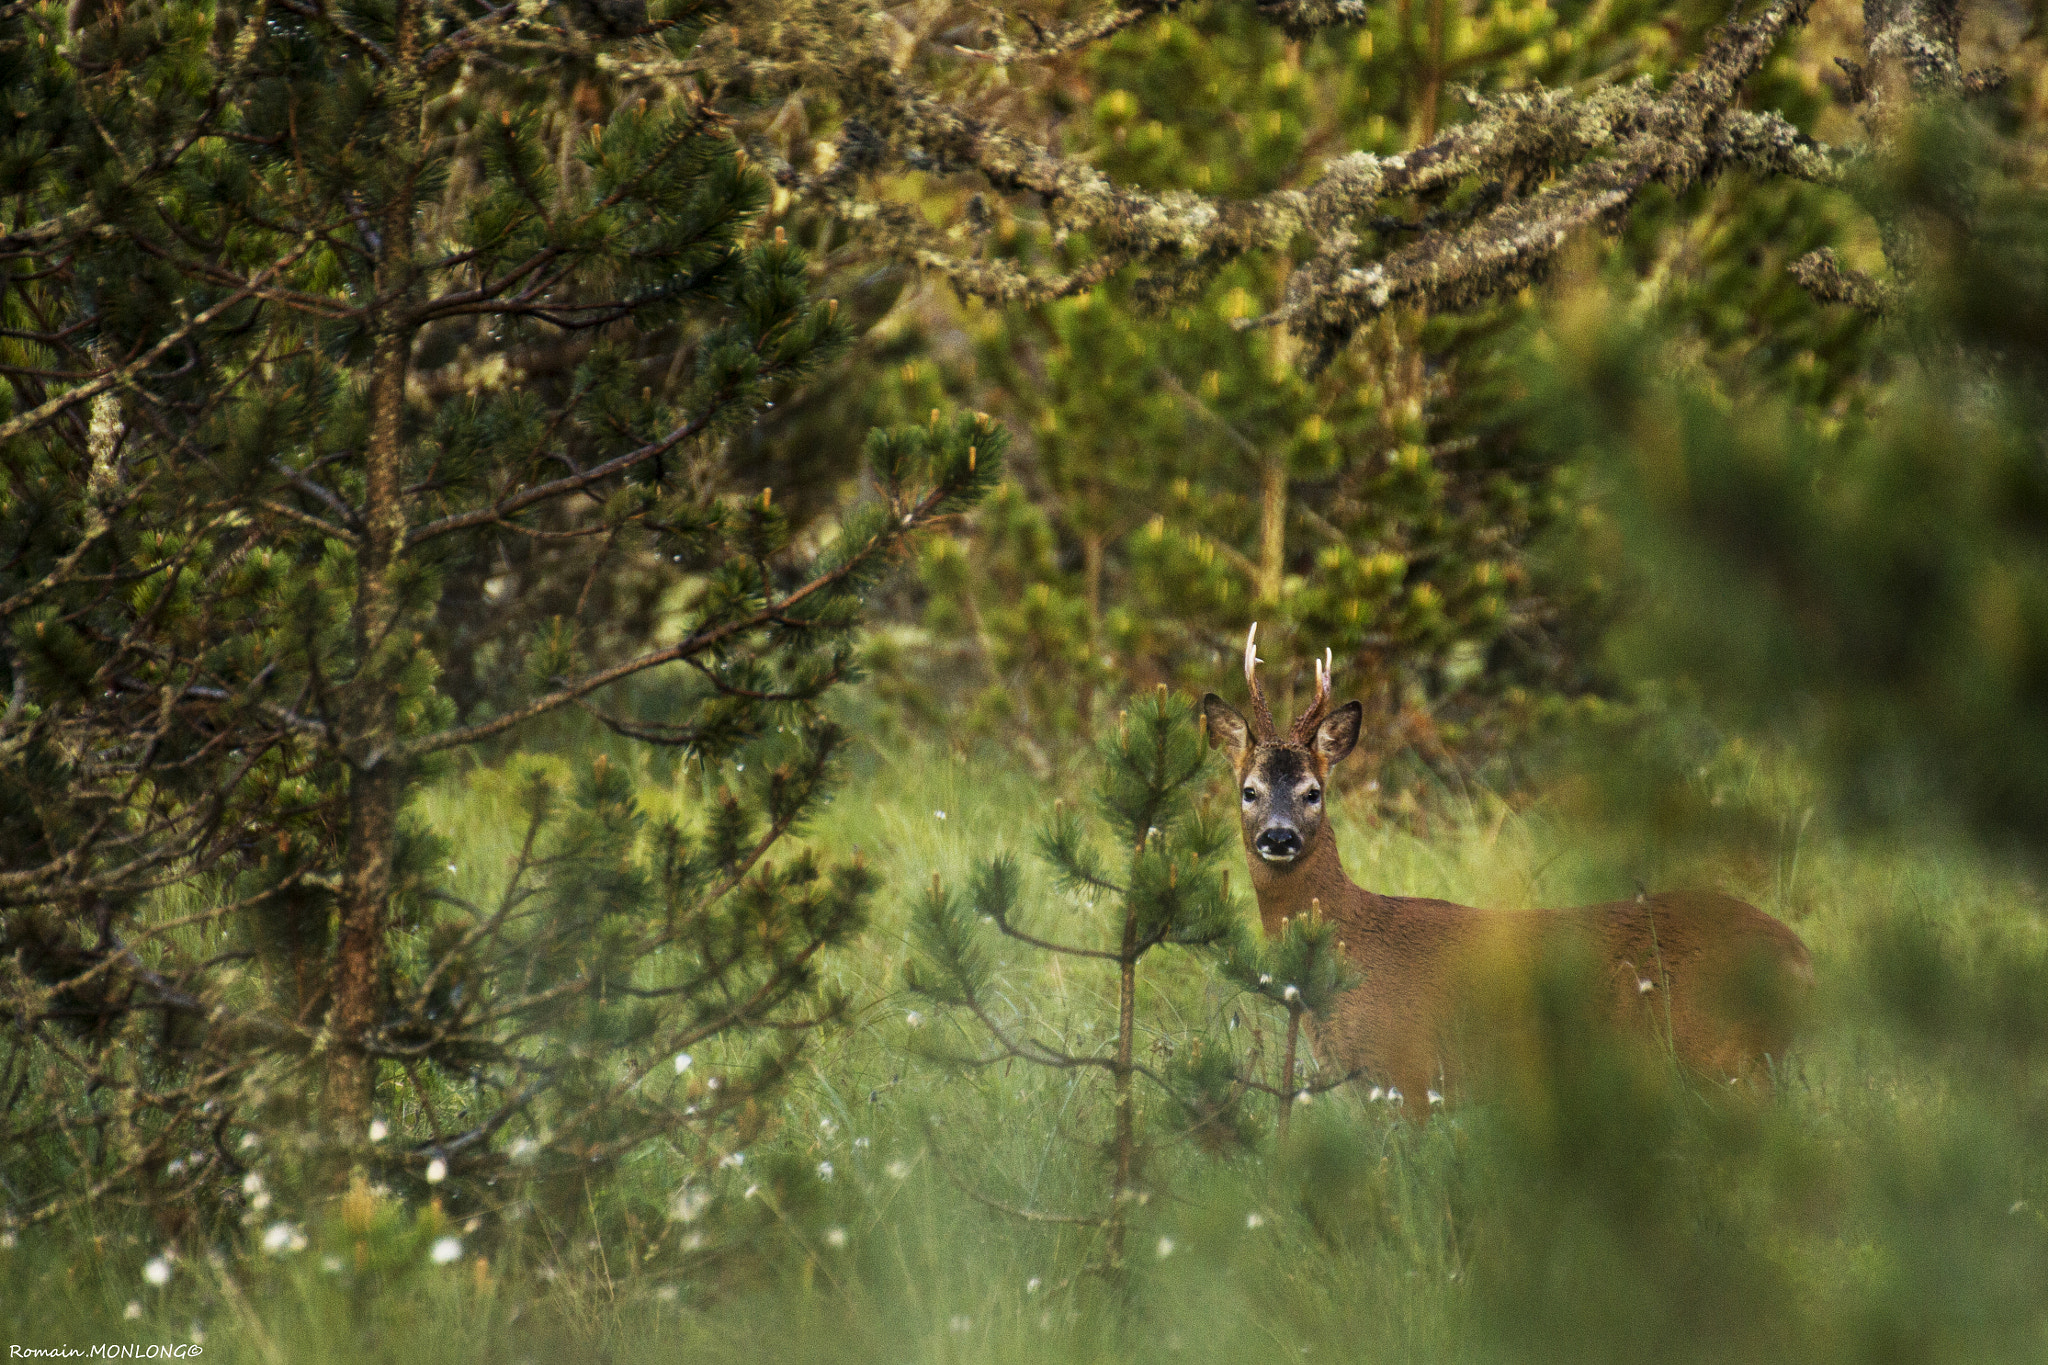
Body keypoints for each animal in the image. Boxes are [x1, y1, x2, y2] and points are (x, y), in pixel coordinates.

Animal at [1204, 630, 1818, 1113]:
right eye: (1248, 791)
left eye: (1314, 791)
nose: (1278, 837)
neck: (1348, 942)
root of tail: (1802, 958)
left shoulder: (1410, 1073)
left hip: (1726, 1059)